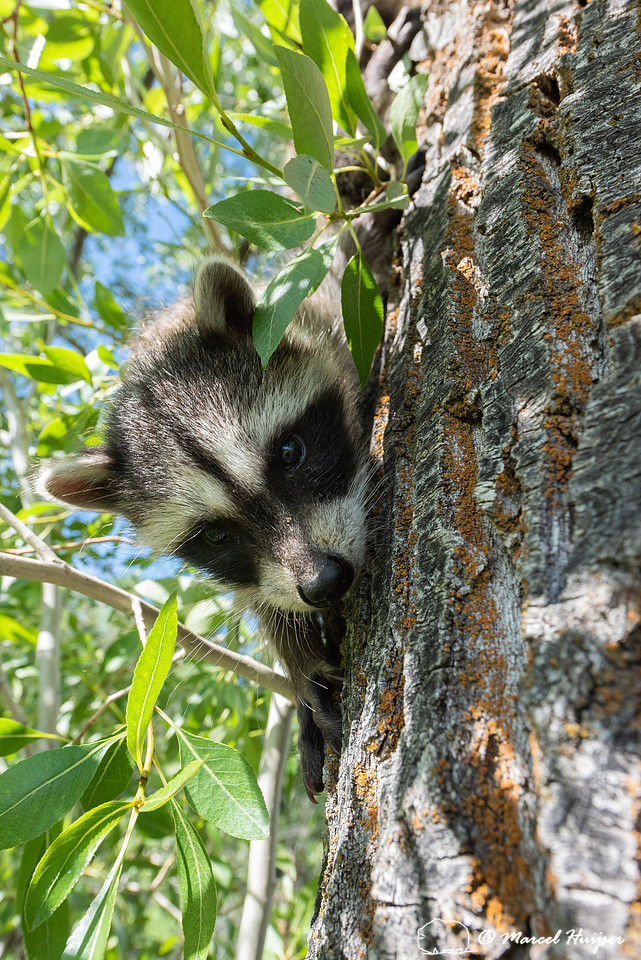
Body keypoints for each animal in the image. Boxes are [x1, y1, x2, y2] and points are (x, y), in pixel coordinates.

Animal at [38, 256, 370, 799]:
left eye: (290, 452)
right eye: (216, 535)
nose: (324, 583)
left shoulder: (323, 307)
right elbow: (267, 593)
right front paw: (300, 662)